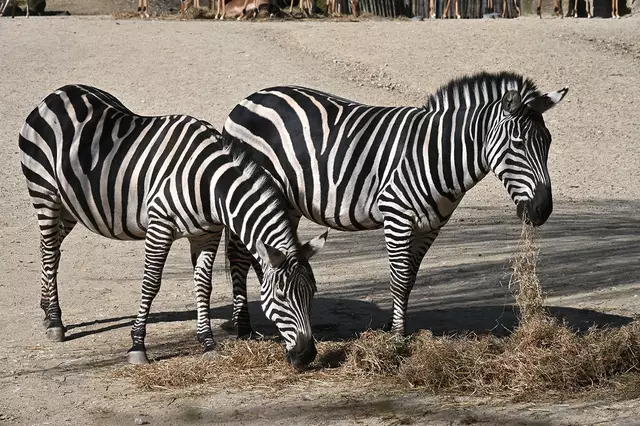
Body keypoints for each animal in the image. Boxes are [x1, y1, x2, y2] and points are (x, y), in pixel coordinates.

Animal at [19, 84, 327, 367]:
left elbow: (204, 285)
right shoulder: (160, 225)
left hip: (71, 204)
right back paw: (55, 321)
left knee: (51, 249)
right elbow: (151, 283)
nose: (307, 356)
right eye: (281, 296)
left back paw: (46, 309)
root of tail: (60, 92)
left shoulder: (208, 234)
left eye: (312, 293)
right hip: (45, 192)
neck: (210, 185)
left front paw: (207, 342)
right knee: (50, 250)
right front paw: (137, 346)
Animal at [221, 71, 568, 338]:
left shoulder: (431, 225)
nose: (542, 210)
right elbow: (399, 277)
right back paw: (244, 327)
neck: (437, 154)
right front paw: (398, 337)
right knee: (239, 256)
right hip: (249, 190)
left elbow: (410, 278)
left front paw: (393, 326)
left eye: (549, 142)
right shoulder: (397, 215)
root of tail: (250, 98)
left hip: (287, 202)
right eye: (518, 144)